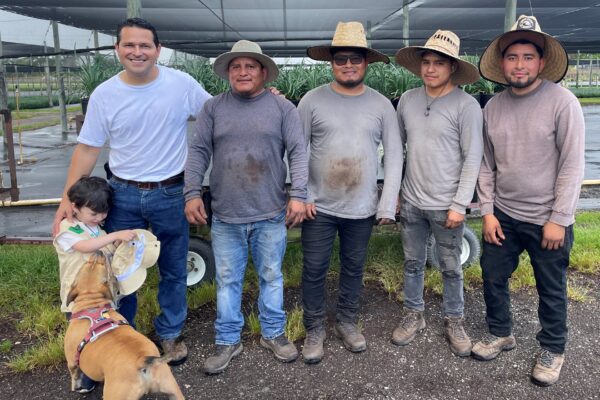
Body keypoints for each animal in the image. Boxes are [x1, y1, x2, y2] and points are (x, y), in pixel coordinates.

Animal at [63, 253, 185, 400]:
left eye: (100, 265)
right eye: (89, 263)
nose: (98, 252)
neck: (91, 303)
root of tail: (141, 361)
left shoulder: (72, 361)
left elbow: (74, 375)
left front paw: (76, 386)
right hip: (172, 388)